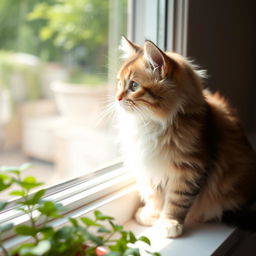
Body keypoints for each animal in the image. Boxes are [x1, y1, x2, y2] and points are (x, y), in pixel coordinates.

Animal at [114, 36, 256, 238]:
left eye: (134, 86)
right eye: (119, 83)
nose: (117, 98)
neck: (151, 124)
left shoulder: (190, 169)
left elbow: (176, 201)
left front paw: (169, 223)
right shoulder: (148, 169)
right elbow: (153, 196)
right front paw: (151, 215)